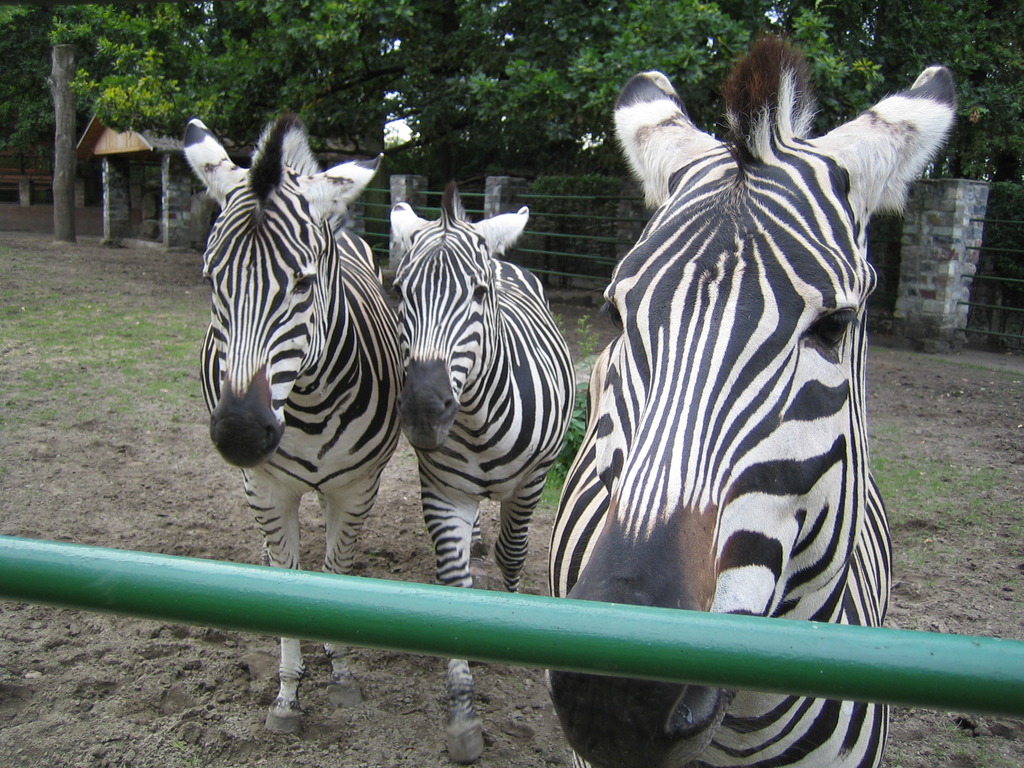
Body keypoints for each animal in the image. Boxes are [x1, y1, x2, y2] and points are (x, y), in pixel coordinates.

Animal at [184, 112, 399, 733]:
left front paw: (340, 671)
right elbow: (288, 581)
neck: (308, 405)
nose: (238, 434)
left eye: (303, 284)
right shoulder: (264, 486)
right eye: (212, 281)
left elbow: (333, 573)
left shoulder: (357, 488)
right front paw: (287, 693)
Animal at [389, 185, 573, 765]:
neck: (475, 420)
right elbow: (453, 578)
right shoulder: (442, 490)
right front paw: (463, 716)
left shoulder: (533, 480)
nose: (425, 411)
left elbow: (513, 554)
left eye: (477, 292)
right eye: (399, 291)